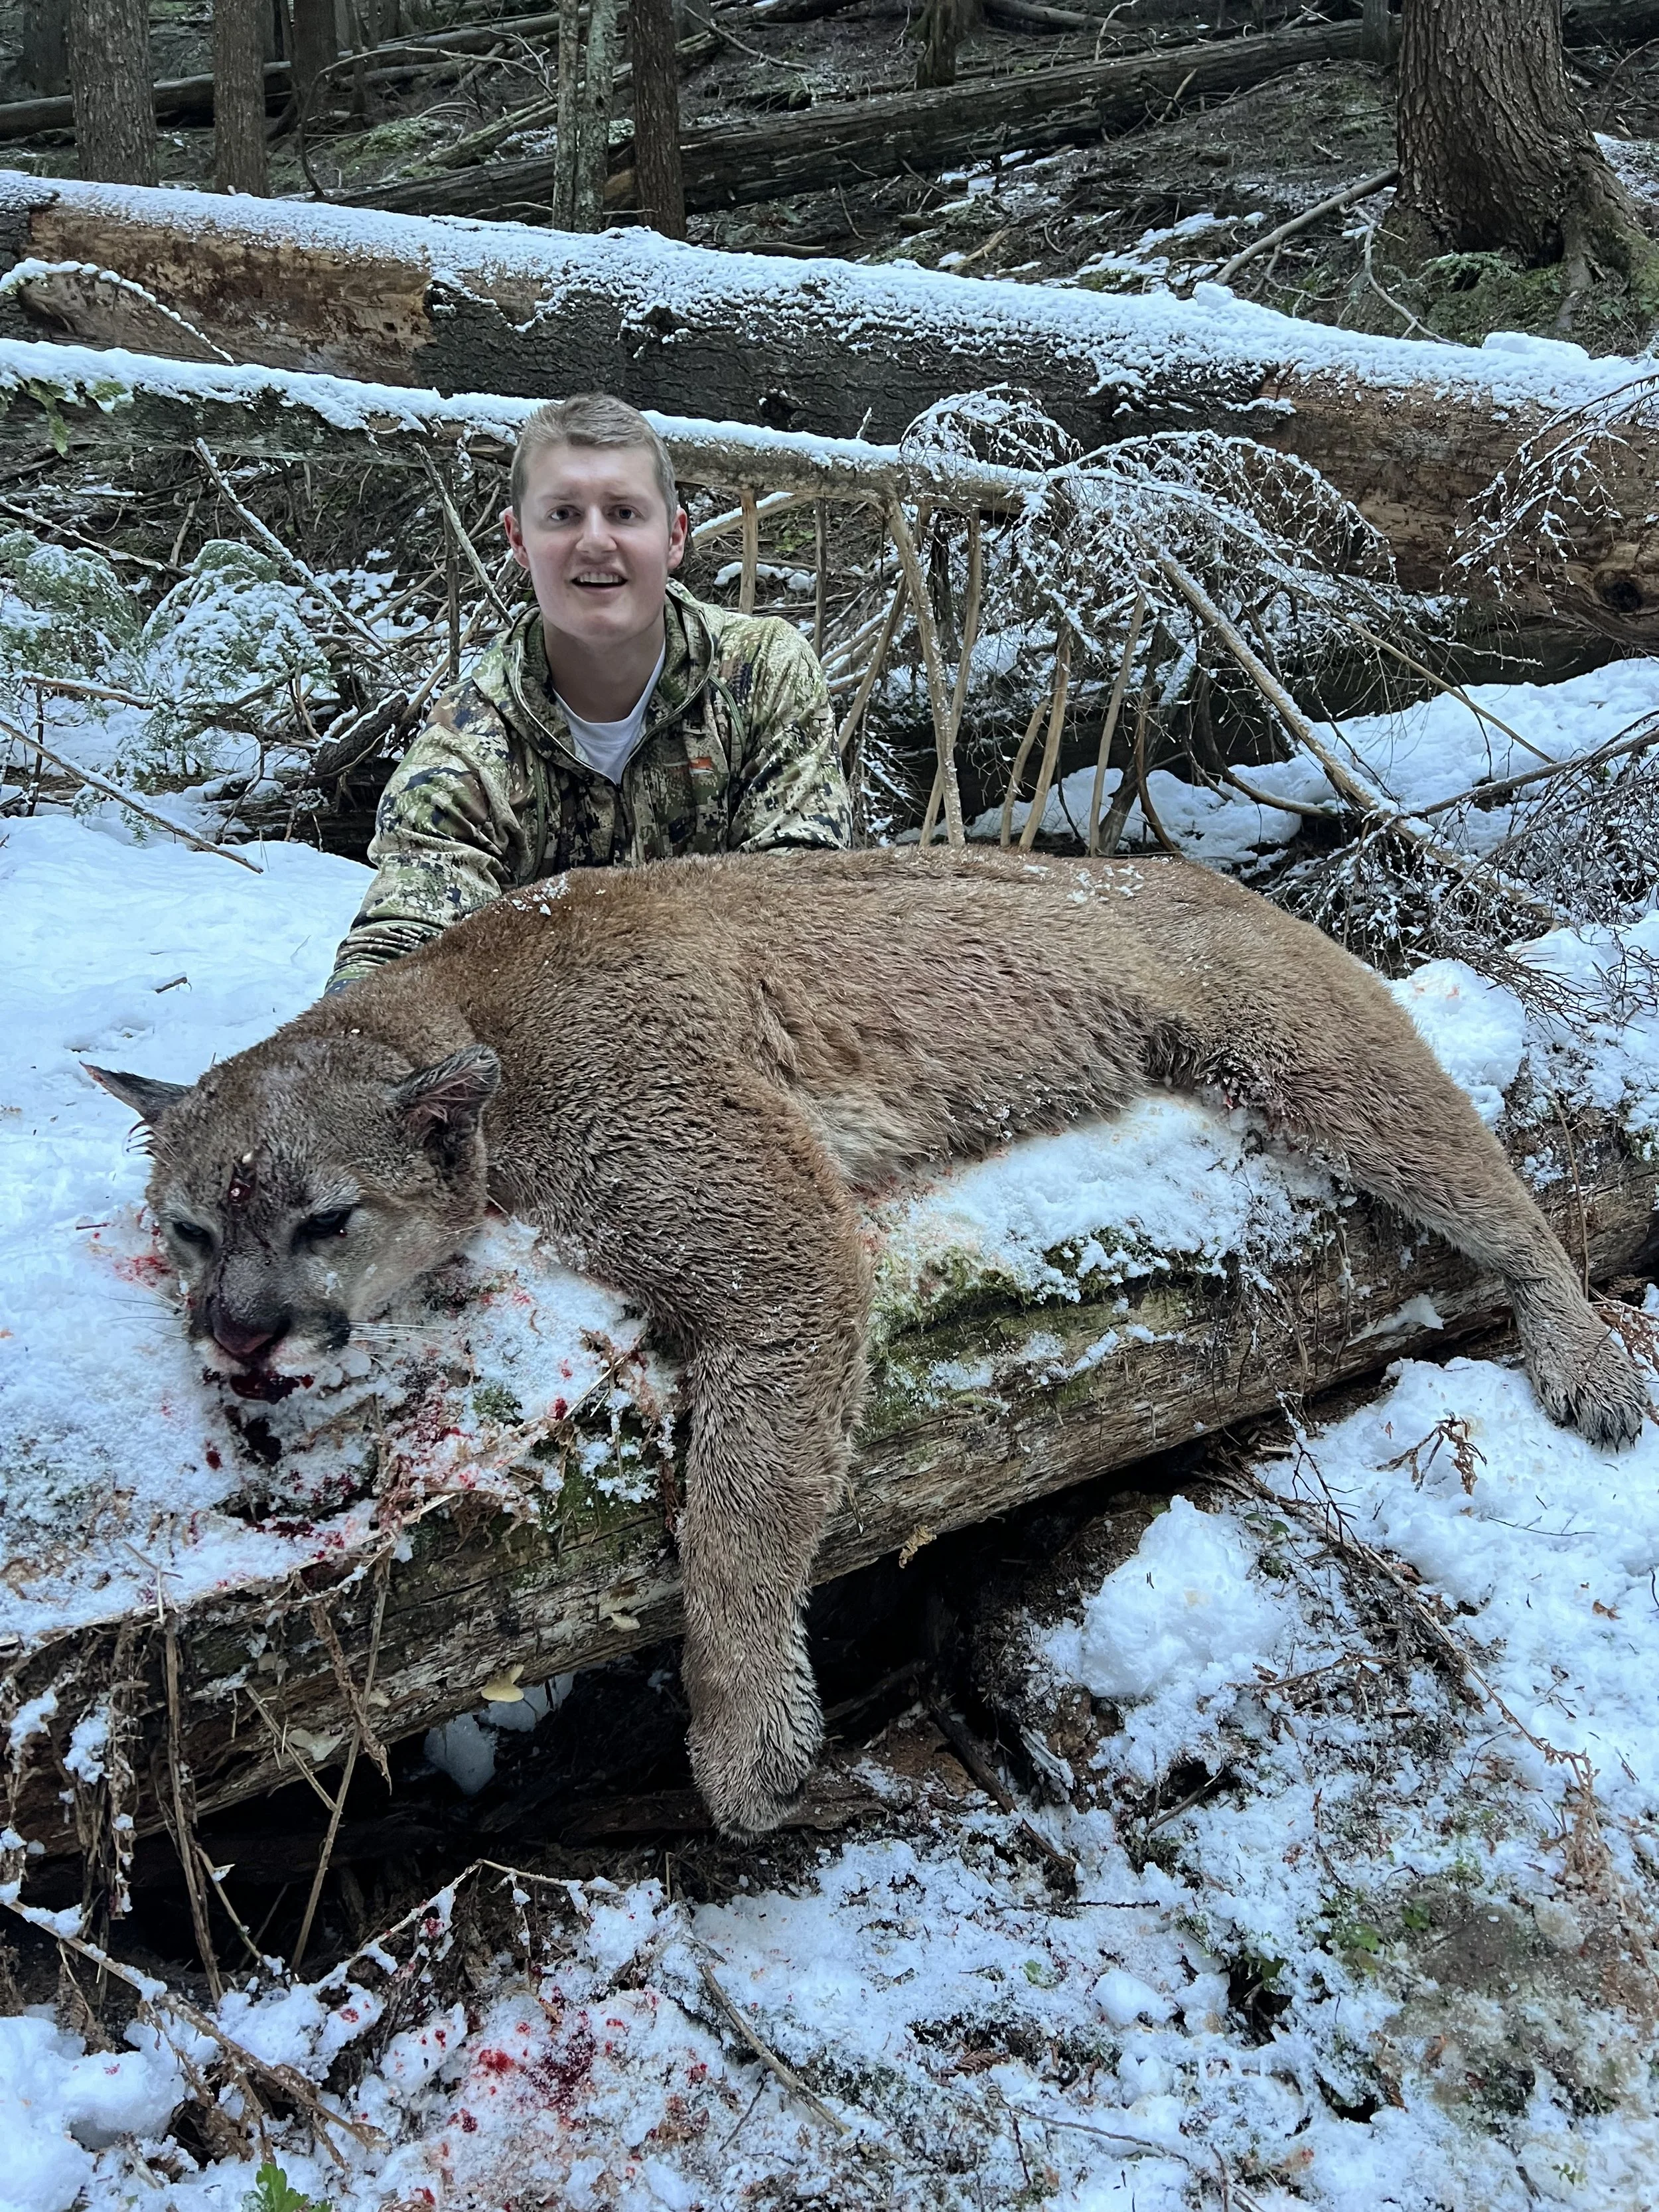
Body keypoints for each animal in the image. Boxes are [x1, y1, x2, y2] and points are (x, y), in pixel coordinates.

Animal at [90, 846, 1648, 1836]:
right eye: (189, 1229)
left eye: (325, 1217)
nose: (237, 1336)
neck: (476, 1022)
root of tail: (1204, 872)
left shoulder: (768, 1226)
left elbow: (741, 1501)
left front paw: (742, 1741)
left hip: (1317, 1058)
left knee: (1505, 1182)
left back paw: (1583, 1351)